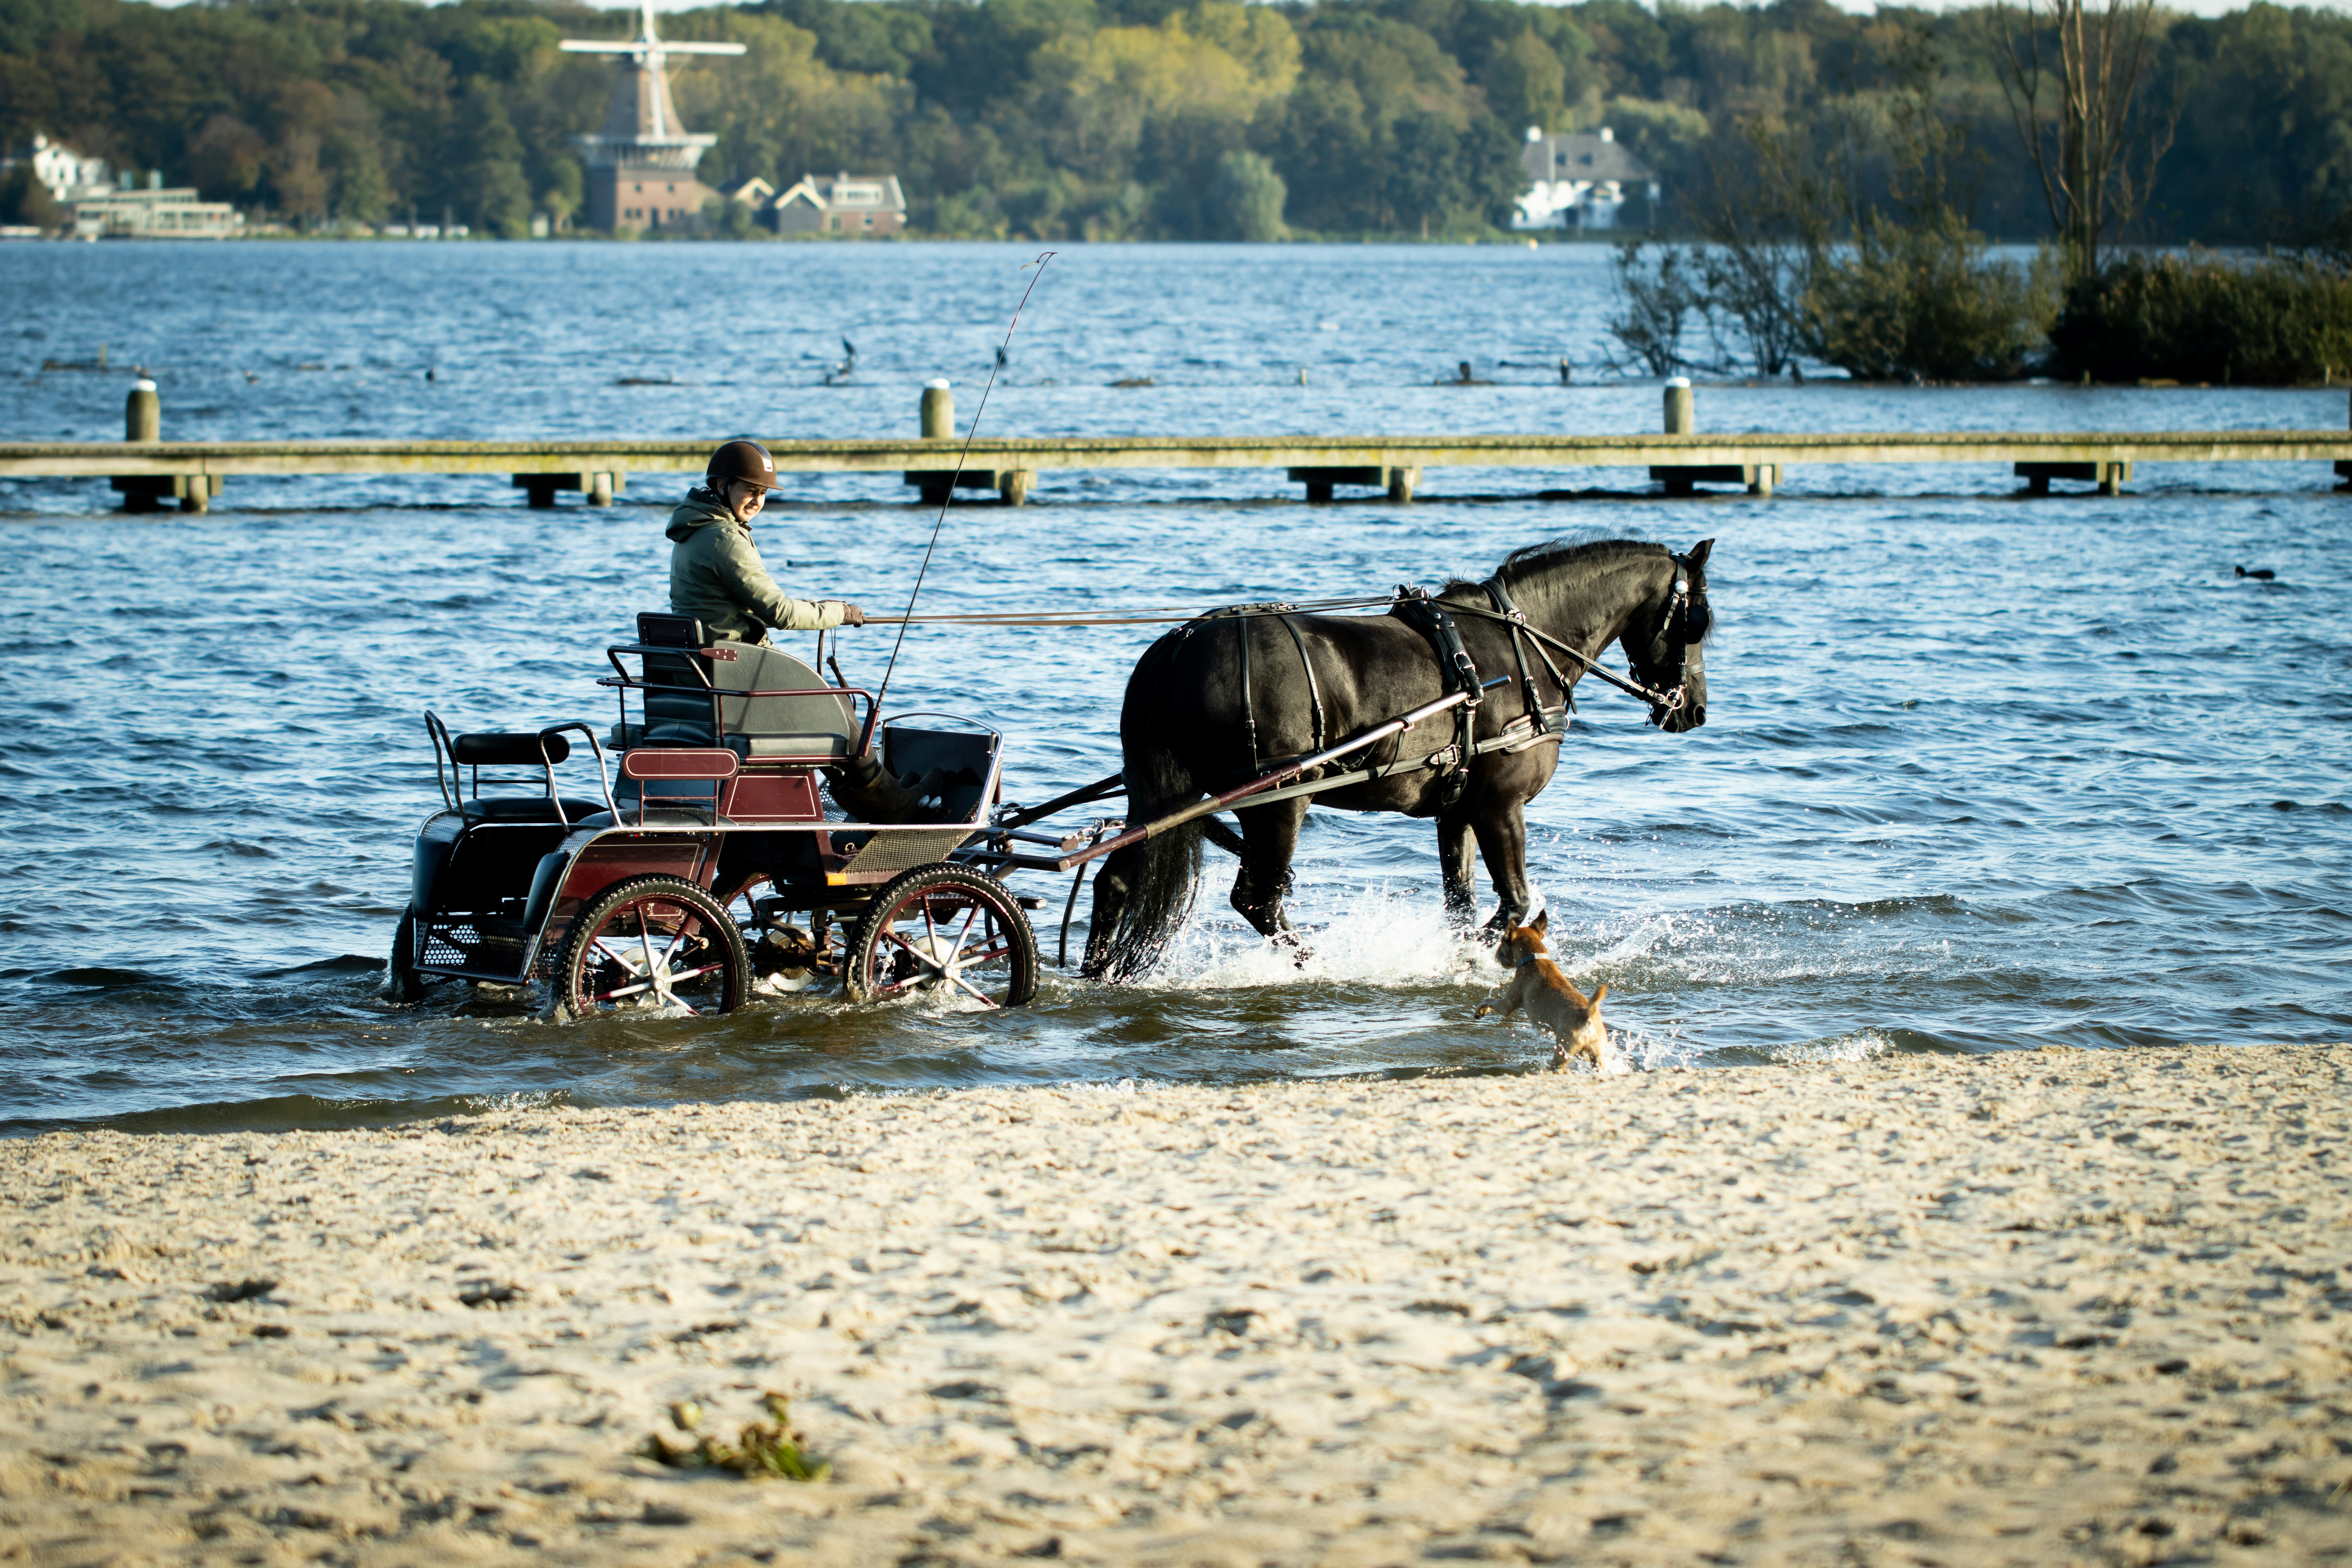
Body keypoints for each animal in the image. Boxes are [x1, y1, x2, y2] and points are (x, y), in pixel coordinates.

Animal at [1081, 536, 1714, 981]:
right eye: (1697, 620)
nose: (1695, 708)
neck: (1521, 648)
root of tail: (1178, 646)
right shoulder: (1500, 806)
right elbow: (1514, 902)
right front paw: (1476, 956)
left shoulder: (1456, 811)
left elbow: (1461, 904)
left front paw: (1460, 957)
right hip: (1278, 802)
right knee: (1258, 899)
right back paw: (1318, 963)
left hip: (1164, 799)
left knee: (1117, 882)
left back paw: (1096, 973)